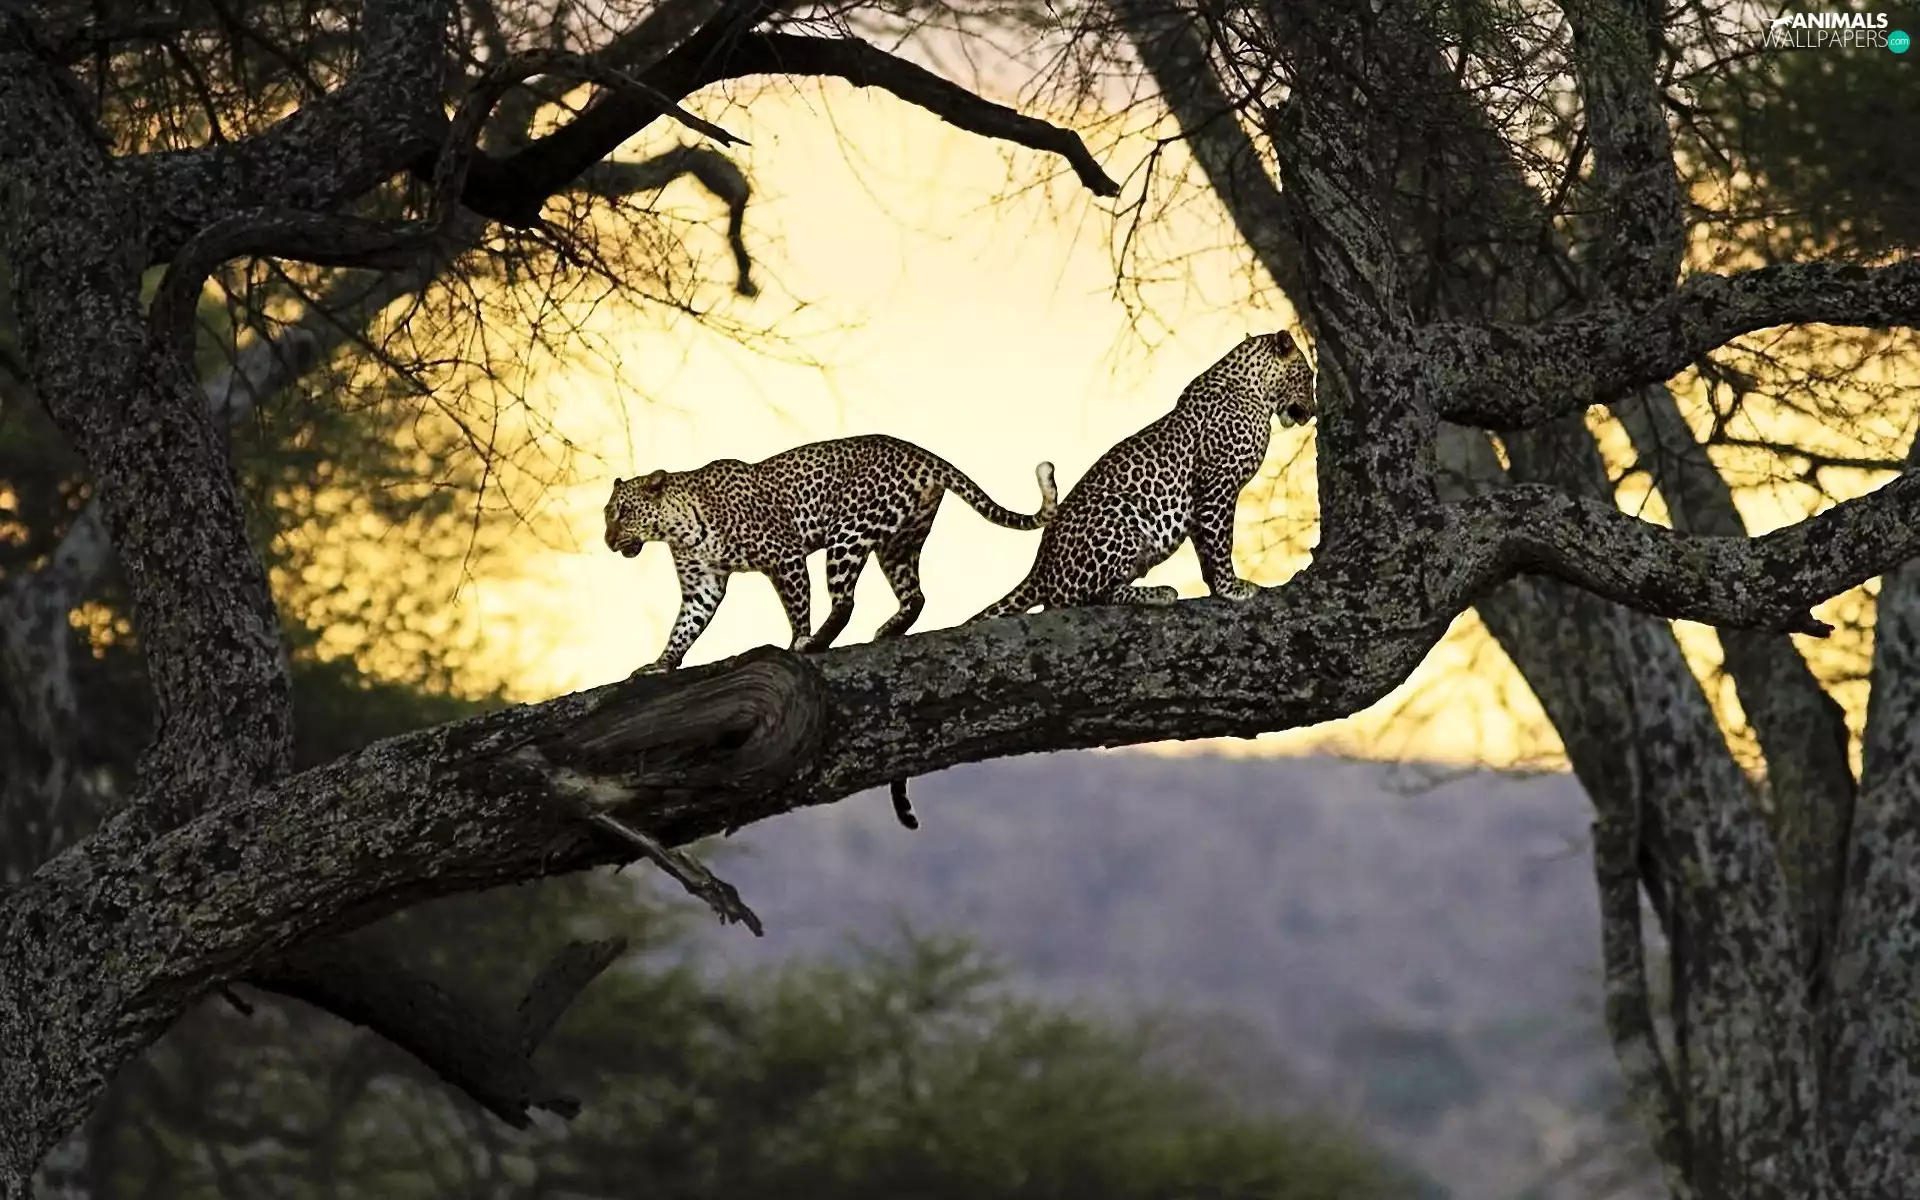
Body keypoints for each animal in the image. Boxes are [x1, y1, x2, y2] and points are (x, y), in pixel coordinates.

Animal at [605, 434, 1058, 677]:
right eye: (607, 514)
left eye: (622, 512)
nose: (608, 540)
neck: (677, 529)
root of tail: (920, 452)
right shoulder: (703, 584)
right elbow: (685, 626)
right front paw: (662, 663)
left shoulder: (784, 555)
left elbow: (797, 605)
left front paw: (797, 641)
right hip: (899, 543)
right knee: (915, 596)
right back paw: (888, 630)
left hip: (849, 533)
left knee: (845, 601)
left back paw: (817, 643)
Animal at [971, 330, 1315, 621]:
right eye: (1309, 376)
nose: (1312, 411)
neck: (1256, 391)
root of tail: (1039, 568)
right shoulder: (1219, 485)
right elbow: (1221, 542)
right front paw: (1232, 587)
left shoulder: (1202, 500)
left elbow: (1206, 547)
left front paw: (1217, 587)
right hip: (1120, 514)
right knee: (1090, 597)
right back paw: (1158, 593)